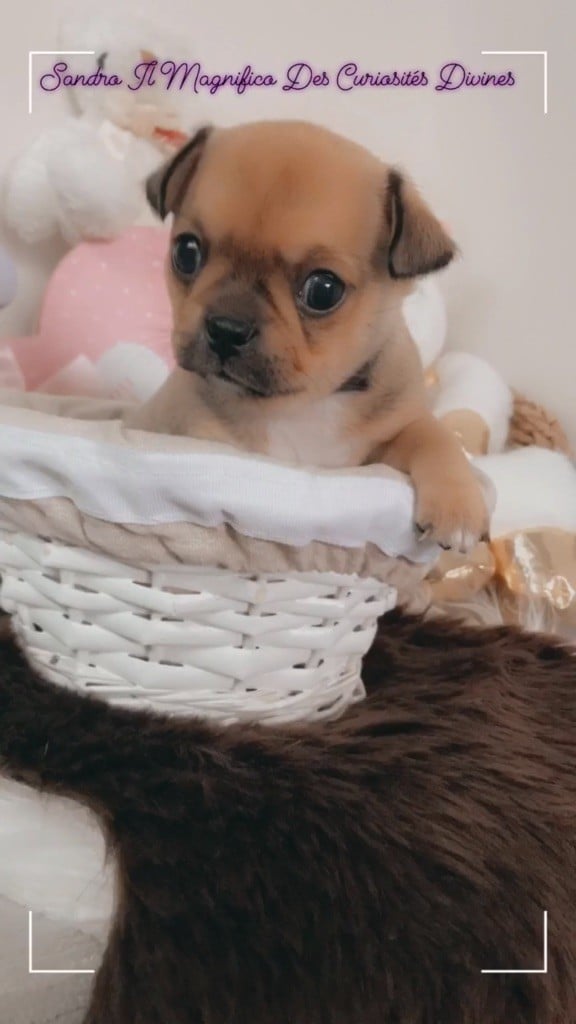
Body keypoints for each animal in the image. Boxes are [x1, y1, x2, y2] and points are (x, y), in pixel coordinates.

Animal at [127, 120, 489, 552]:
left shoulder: (387, 440)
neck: (303, 405)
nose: (227, 329)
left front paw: (458, 506)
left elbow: (433, 435)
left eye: (323, 290)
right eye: (186, 253)